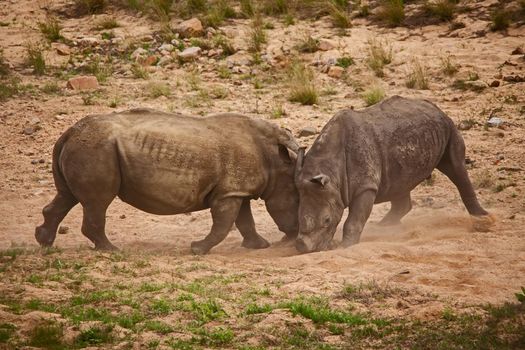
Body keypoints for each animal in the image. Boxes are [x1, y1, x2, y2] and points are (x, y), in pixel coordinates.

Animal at [34, 108, 298, 254]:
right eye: (297, 202)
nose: (294, 234)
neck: (277, 162)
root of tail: (69, 132)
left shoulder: (236, 190)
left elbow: (245, 220)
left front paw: (260, 246)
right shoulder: (230, 192)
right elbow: (223, 224)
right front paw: (197, 249)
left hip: (86, 148)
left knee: (67, 196)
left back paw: (44, 242)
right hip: (95, 149)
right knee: (97, 202)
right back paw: (112, 250)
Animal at [294, 95, 492, 254]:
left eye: (327, 220)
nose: (302, 247)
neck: (331, 171)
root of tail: (435, 107)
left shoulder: (366, 187)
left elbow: (353, 221)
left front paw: (345, 246)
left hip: (448, 126)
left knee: (456, 168)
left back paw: (483, 218)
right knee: (400, 185)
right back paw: (384, 227)